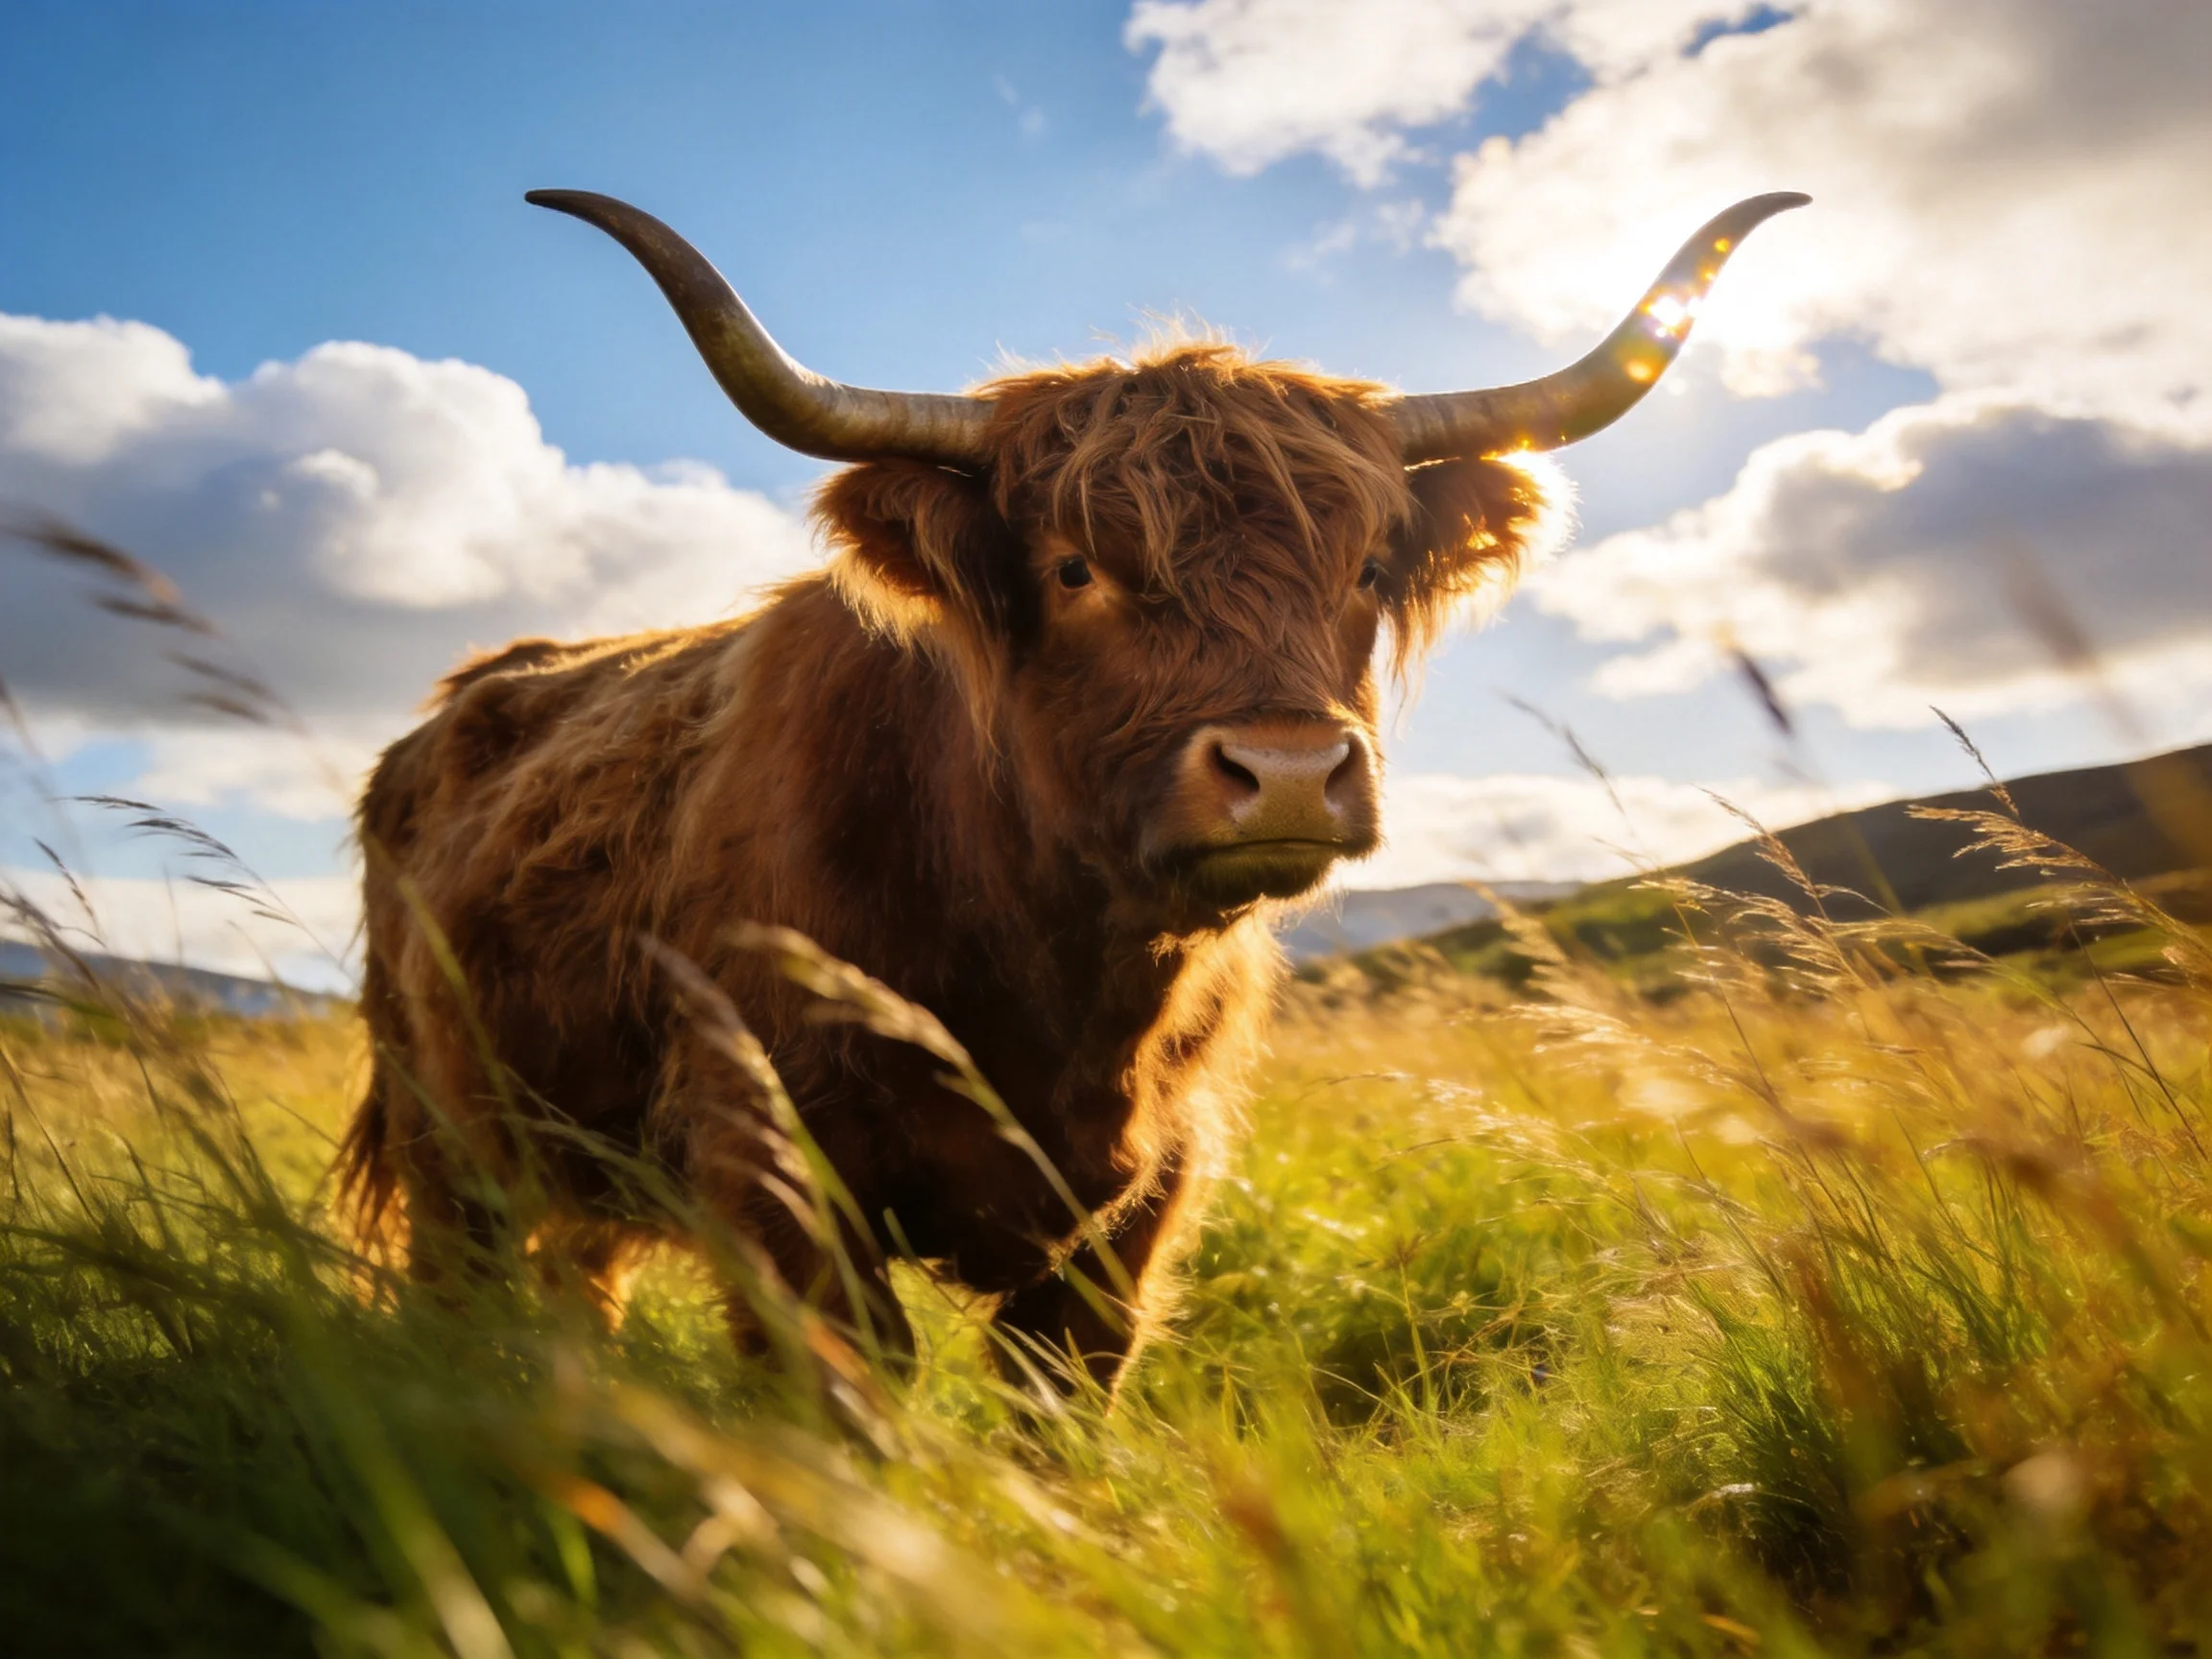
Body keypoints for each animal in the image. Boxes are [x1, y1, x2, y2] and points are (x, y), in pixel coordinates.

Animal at [340, 188, 1803, 1391]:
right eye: (1073, 567)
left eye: (1370, 568)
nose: (1286, 772)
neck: (1060, 975)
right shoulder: (773, 1159)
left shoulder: (1147, 1197)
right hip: (444, 1130)